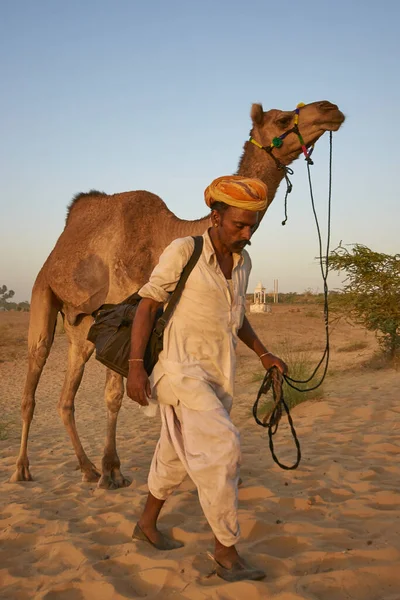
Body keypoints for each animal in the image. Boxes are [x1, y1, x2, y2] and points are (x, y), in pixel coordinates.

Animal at [10, 101, 346, 490]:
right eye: (281, 118)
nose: (330, 109)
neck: (167, 234)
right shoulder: (122, 303)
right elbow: (114, 395)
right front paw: (113, 471)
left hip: (80, 323)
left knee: (66, 396)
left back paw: (86, 468)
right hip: (43, 292)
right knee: (34, 372)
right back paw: (23, 468)